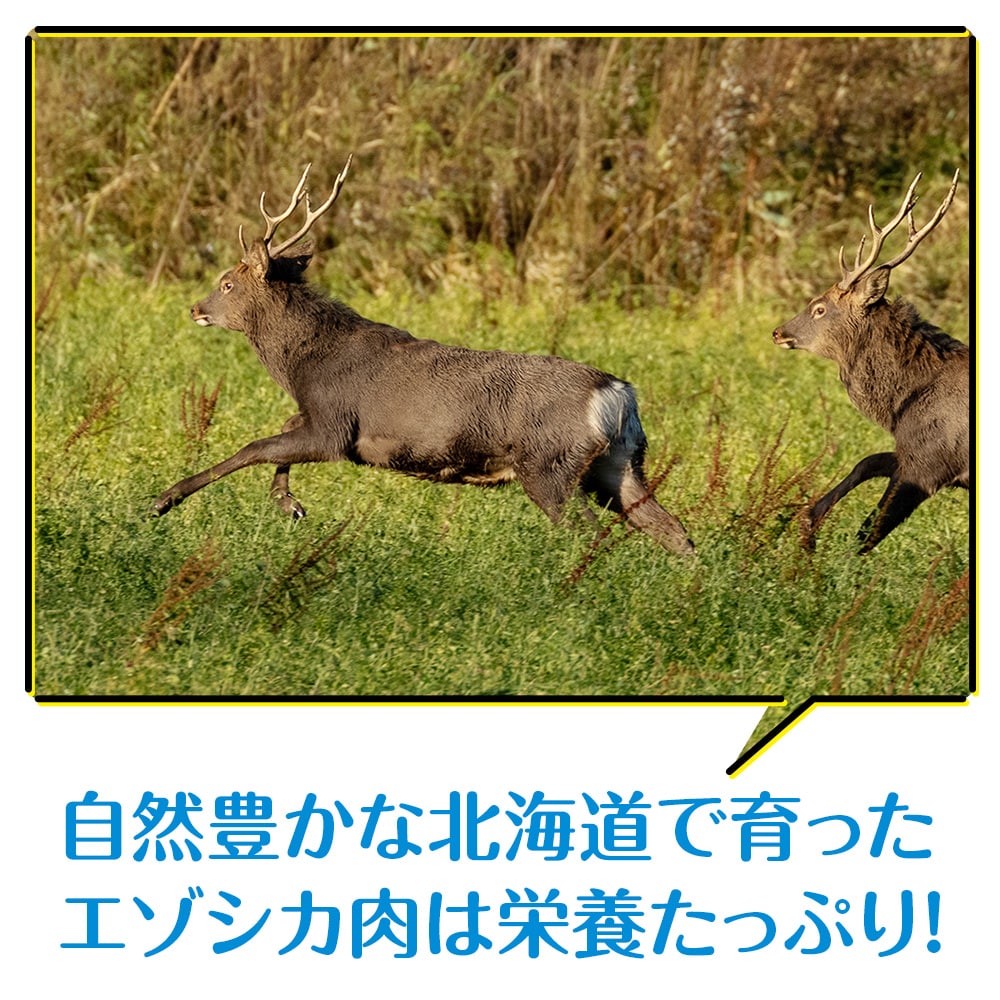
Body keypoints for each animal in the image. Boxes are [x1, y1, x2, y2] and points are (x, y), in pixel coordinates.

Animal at [151, 156, 695, 557]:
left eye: (227, 282)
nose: (196, 308)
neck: (303, 365)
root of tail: (617, 393)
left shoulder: (335, 426)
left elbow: (255, 447)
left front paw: (164, 500)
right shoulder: (320, 419)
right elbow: (278, 432)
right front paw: (289, 504)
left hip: (549, 464)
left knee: (592, 533)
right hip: (619, 463)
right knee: (674, 531)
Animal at [772, 170, 969, 553]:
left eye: (819, 308)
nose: (777, 332)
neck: (899, 406)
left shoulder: (930, 463)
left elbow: (868, 531)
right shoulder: (915, 454)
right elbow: (868, 461)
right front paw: (808, 524)